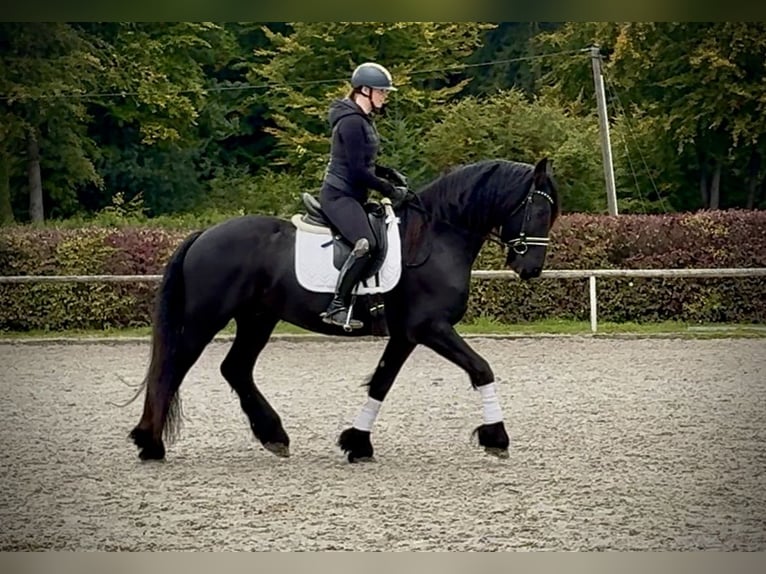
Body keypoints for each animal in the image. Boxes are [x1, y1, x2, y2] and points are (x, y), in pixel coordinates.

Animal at [129, 157, 560, 463]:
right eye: (537, 211)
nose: (531, 269)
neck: (437, 236)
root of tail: (205, 234)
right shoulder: (431, 328)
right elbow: (481, 368)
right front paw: (497, 437)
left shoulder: (406, 334)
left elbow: (381, 382)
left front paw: (358, 443)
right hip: (205, 318)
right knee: (173, 367)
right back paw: (150, 443)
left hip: (257, 318)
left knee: (235, 368)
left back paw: (273, 436)